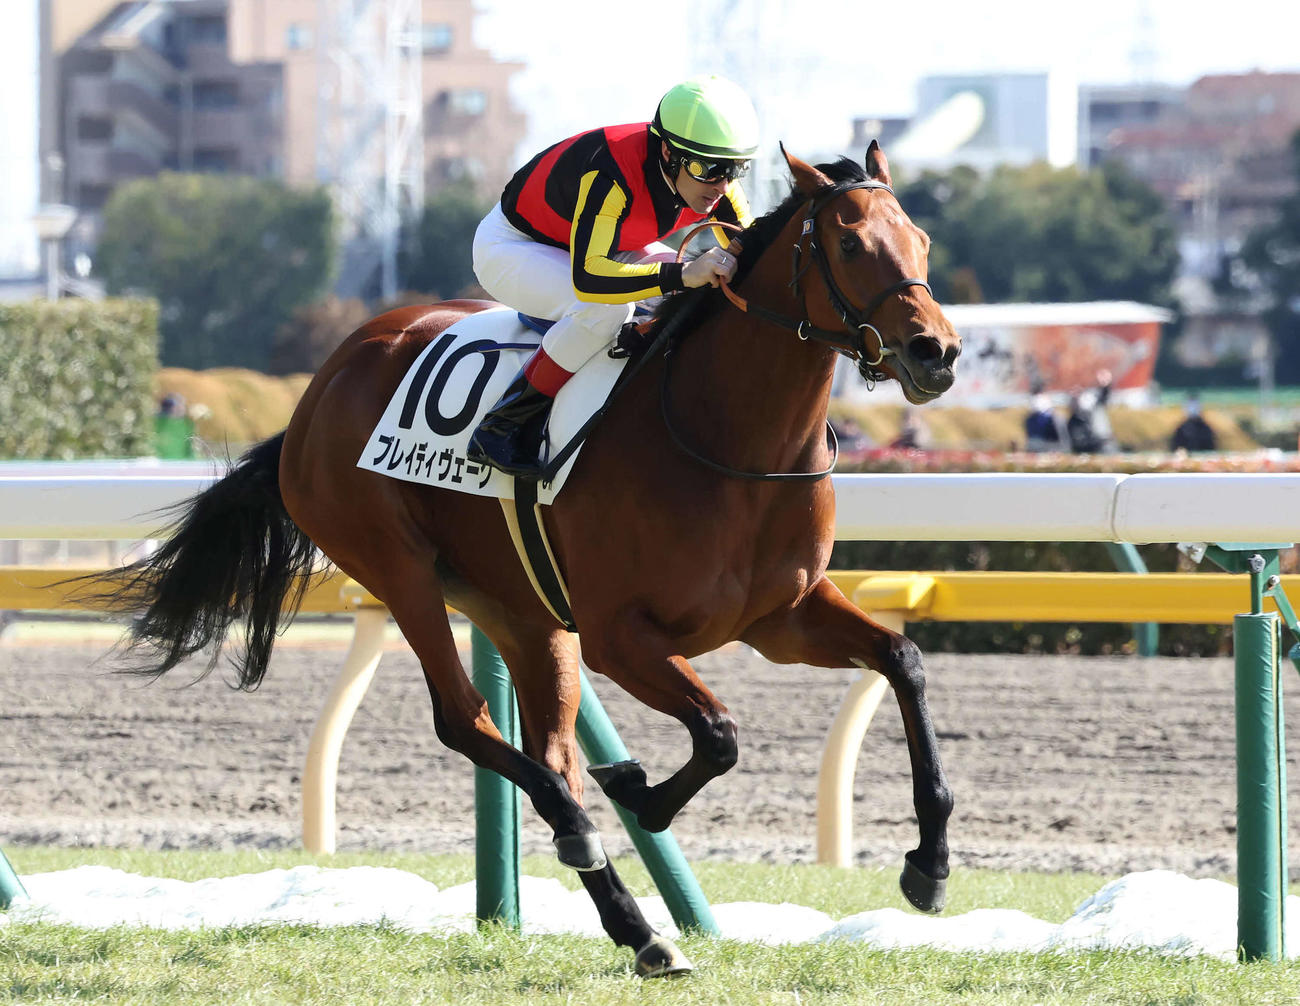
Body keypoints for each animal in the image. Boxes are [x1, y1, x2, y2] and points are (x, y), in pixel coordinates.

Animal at [102, 143, 961, 977]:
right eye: (849, 244)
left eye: (922, 241)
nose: (937, 352)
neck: (728, 439)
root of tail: (318, 391)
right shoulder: (622, 637)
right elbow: (720, 732)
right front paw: (643, 795)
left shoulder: (780, 617)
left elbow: (904, 660)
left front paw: (930, 863)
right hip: (398, 570)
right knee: (469, 723)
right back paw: (593, 843)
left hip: (520, 612)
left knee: (550, 750)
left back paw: (639, 929)